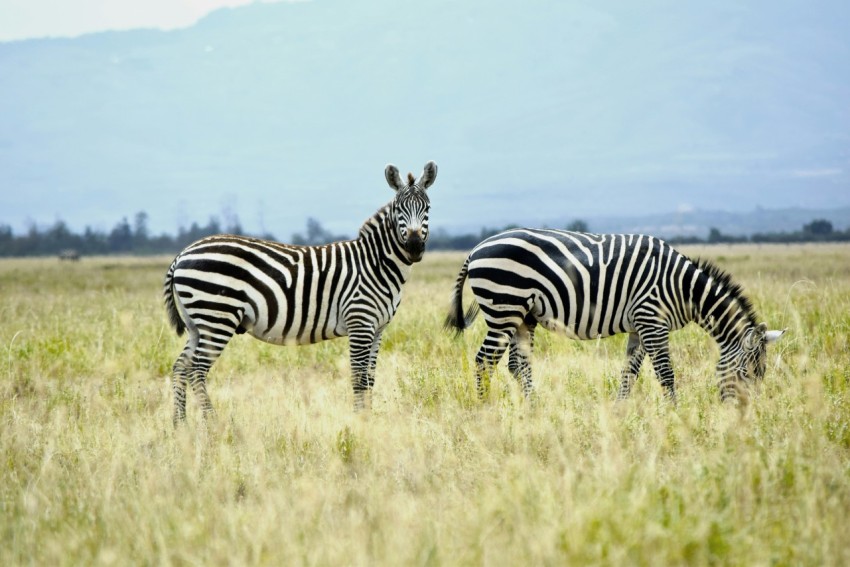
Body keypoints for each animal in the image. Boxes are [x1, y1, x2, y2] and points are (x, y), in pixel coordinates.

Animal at [162, 162, 438, 424]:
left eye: (427, 208)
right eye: (399, 209)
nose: (415, 247)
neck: (375, 263)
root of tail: (182, 253)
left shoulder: (378, 328)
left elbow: (370, 378)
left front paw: (369, 419)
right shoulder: (360, 322)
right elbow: (359, 378)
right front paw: (360, 422)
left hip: (198, 323)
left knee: (180, 367)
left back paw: (180, 425)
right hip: (217, 317)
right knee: (196, 370)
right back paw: (213, 424)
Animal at [444, 230, 780, 404]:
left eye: (761, 375)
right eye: (747, 373)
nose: (745, 416)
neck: (682, 288)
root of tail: (475, 249)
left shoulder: (640, 327)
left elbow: (629, 371)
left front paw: (622, 409)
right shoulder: (652, 321)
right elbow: (665, 373)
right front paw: (675, 413)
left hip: (523, 316)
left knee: (517, 364)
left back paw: (533, 408)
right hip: (504, 308)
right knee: (484, 361)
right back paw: (486, 408)